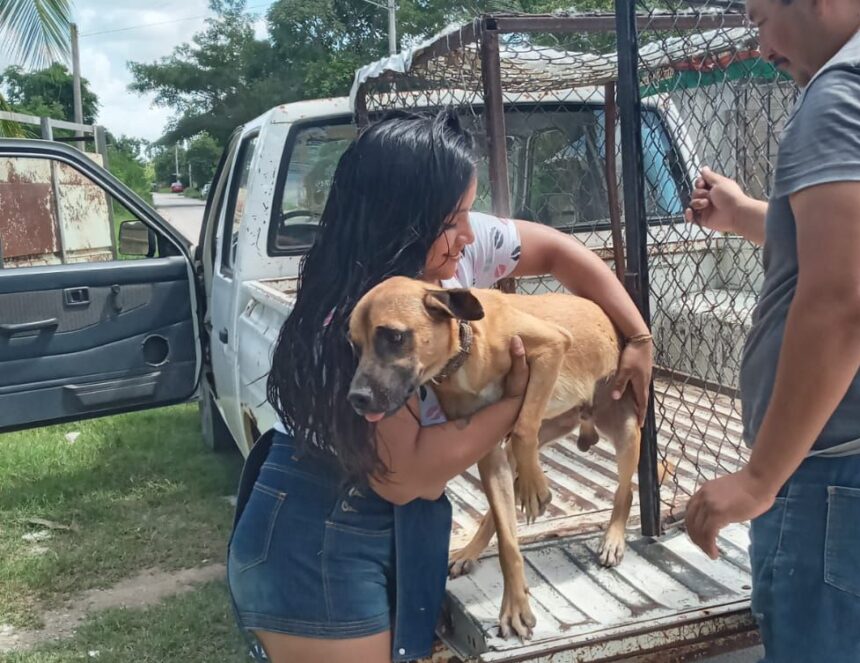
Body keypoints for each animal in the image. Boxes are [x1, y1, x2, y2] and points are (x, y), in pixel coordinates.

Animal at [346, 278, 640, 640]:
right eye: (355, 346)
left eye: (395, 337)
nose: (356, 399)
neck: (468, 352)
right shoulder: (485, 450)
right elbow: (508, 542)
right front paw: (514, 606)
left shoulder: (552, 345)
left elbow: (524, 427)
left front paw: (533, 489)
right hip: (530, 439)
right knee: (498, 510)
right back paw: (472, 549)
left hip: (625, 430)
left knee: (625, 490)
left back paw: (612, 537)